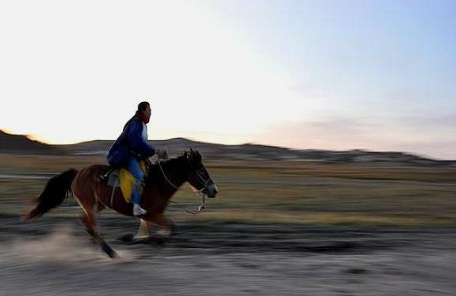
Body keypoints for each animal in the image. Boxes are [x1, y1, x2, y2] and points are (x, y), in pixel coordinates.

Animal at [22, 149, 218, 258]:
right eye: (201, 170)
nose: (214, 190)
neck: (158, 182)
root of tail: (78, 173)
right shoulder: (151, 214)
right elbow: (170, 228)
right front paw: (148, 239)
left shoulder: (150, 216)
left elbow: (151, 232)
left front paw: (138, 239)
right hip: (90, 203)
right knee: (90, 223)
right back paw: (109, 251)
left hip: (97, 204)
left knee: (86, 221)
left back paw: (100, 247)